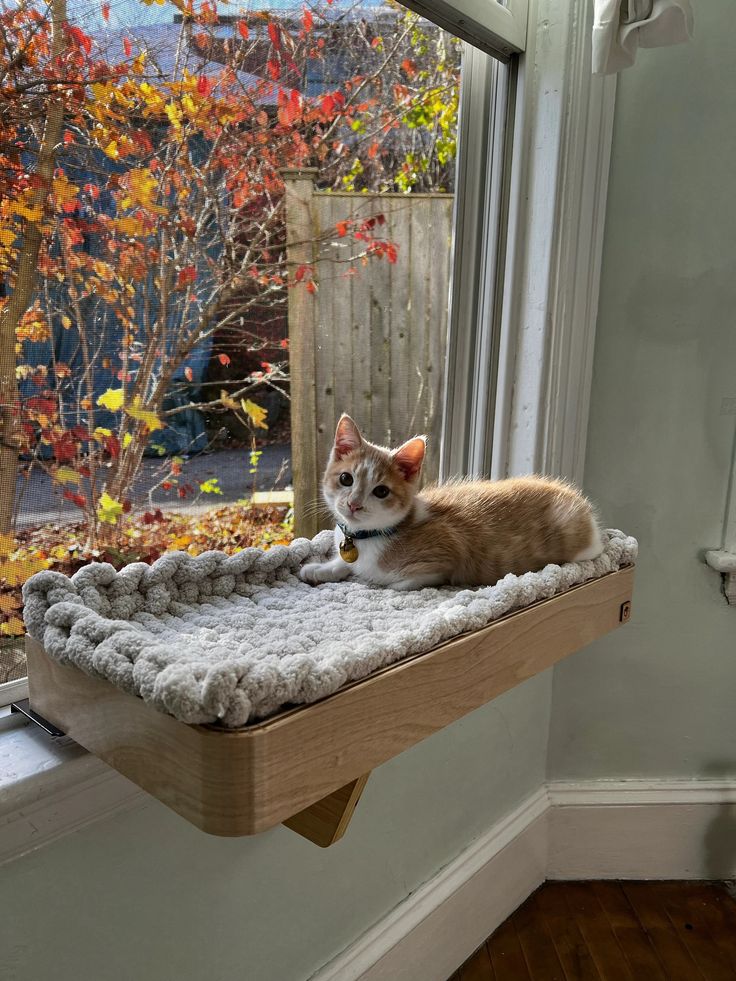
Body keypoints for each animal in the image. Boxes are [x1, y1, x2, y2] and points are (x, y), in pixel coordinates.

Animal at [300, 414, 604, 588]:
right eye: (346, 479)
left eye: (381, 492)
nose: (353, 504)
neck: (368, 537)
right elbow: (345, 563)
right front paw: (322, 568)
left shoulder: (443, 561)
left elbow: (391, 583)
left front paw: (365, 577)